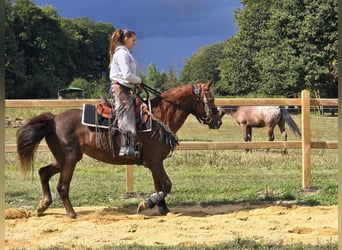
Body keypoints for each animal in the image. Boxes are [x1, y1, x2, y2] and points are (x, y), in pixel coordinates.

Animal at [16, 81, 222, 218]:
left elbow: (160, 185)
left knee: (43, 172)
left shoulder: (156, 163)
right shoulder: (154, 162)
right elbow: (167, 185)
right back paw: (71, 213)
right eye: (211, 99)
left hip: (63, 159)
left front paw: (162, 208)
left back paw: (43, 206)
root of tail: (54, 118)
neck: (159, 116)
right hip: (70, 159)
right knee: (62, 186)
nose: (218, 121)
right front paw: (145, 204)